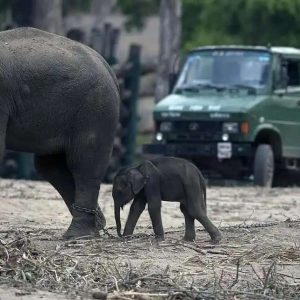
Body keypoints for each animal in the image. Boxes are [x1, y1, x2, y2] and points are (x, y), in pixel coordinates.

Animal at [1, 28, 120, 239]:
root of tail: (106, 65)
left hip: (94, 109)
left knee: (84, 163)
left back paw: (78, 235)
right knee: (50, 165)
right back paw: (97, 225)